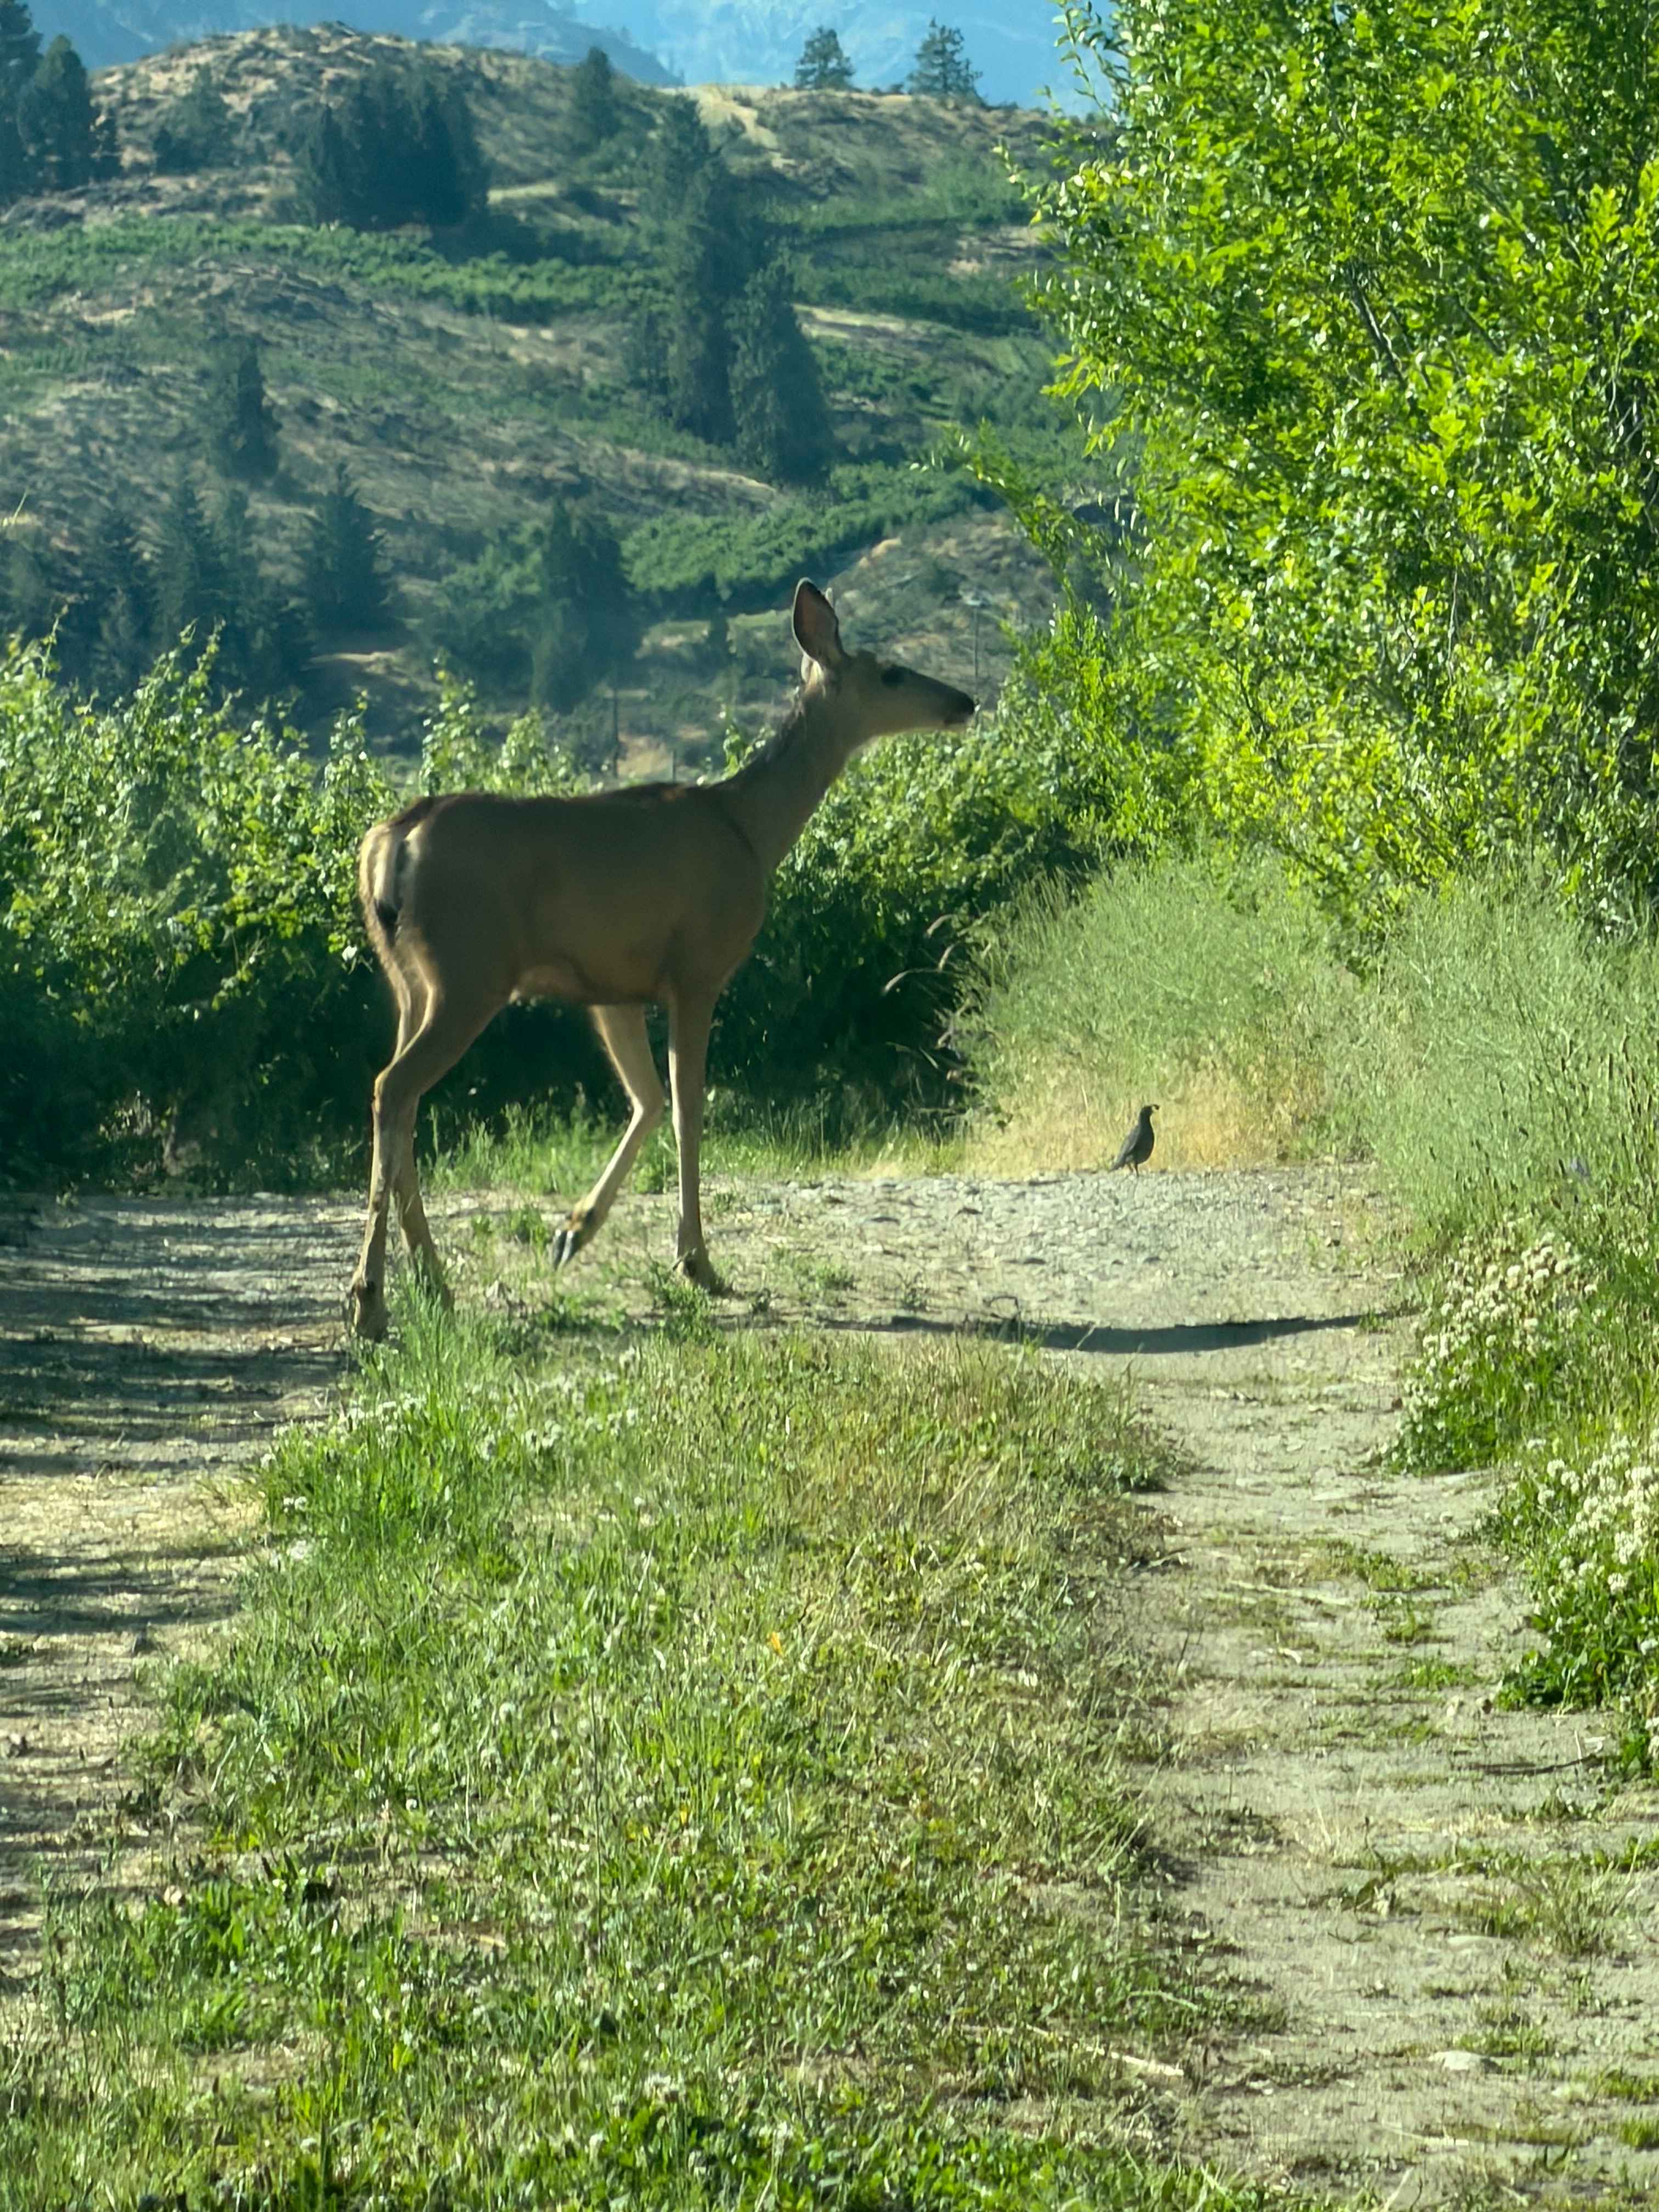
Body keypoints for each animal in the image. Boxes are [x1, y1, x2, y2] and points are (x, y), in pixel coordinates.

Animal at [347, 579, 976, 1339]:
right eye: (891, 673)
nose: (965, 701)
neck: (752, 828)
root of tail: (392, 843)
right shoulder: (698, 969)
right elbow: (687, 1107)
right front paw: (698, 1265)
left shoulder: (612, 986)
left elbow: (646, 1099)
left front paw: (573, 1232)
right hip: (469, 971)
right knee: (394, 1088)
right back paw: (372, 1300)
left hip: (410, 982)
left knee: (400, 1099)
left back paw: (434, 1285)